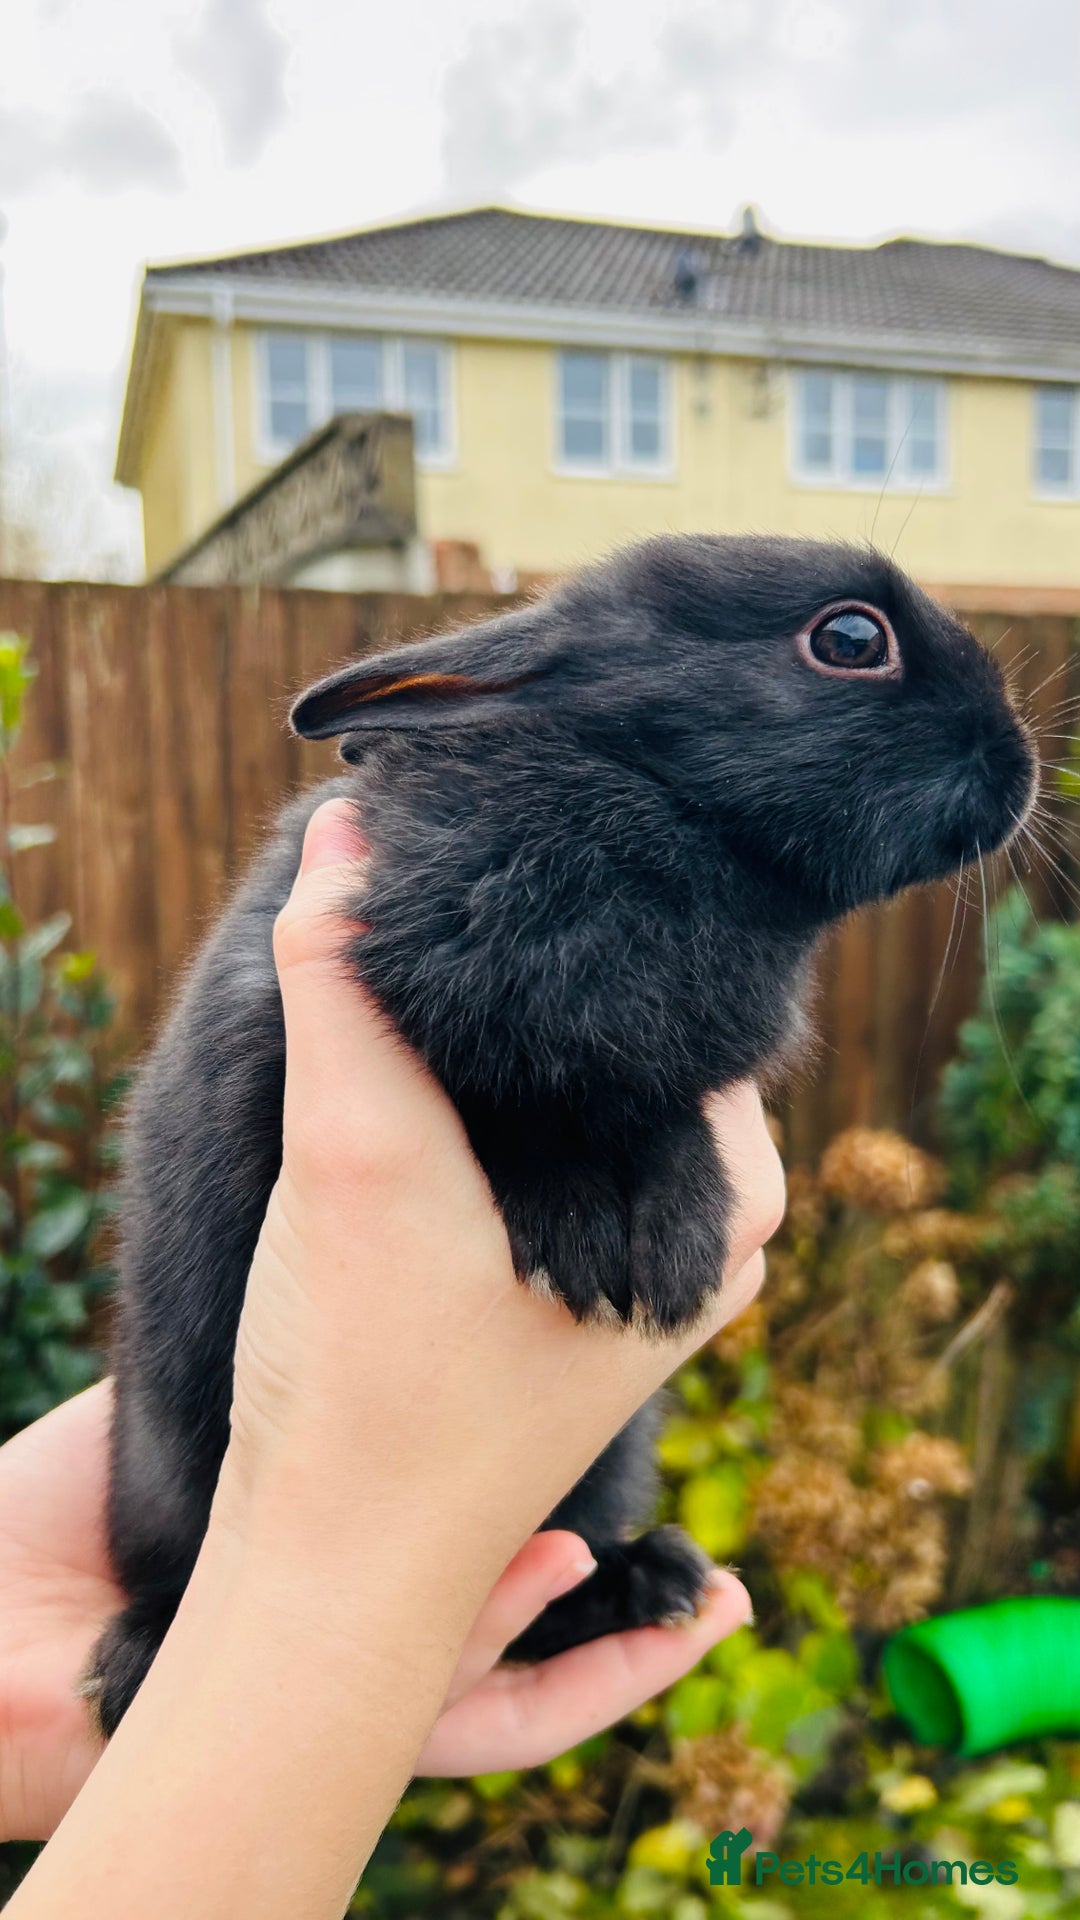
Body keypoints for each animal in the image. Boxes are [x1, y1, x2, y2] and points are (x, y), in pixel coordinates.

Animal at [84, 533, 1037, 1737]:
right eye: (852, 638)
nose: (1023, 760)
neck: (650, 796)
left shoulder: (668, 1066)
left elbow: (661, 1118)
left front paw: (675, 1241)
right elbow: (521, 1116)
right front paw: (590, 1239)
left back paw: (654, 1582)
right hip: (164, 1477)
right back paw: (133, 1668)